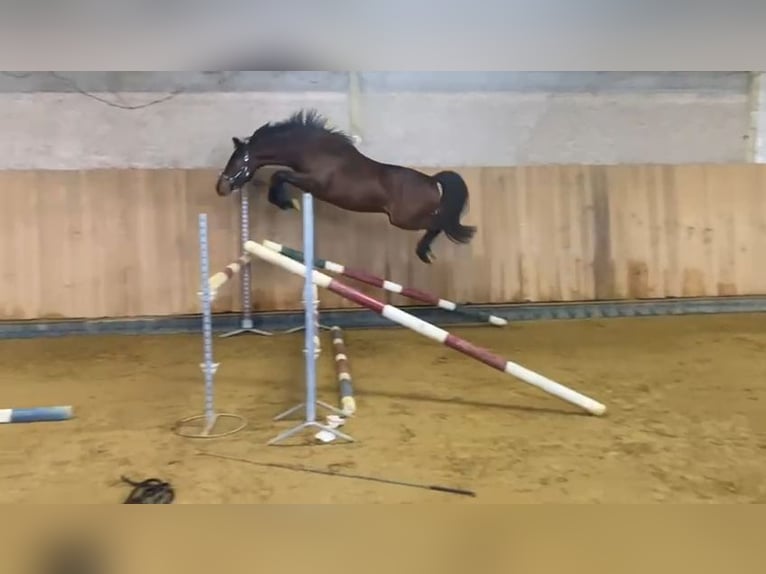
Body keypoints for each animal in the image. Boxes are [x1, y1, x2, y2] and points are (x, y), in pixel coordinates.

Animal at [216, 109, 476, 264]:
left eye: (237, 161)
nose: (221, 188)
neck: (315, 150)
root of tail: (432, 181)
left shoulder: (315, 182)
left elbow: (278, 175)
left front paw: (287, 203)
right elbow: (280, 176)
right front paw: (288, 202)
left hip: (404, 219)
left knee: (439, 224)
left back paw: (423, 252)